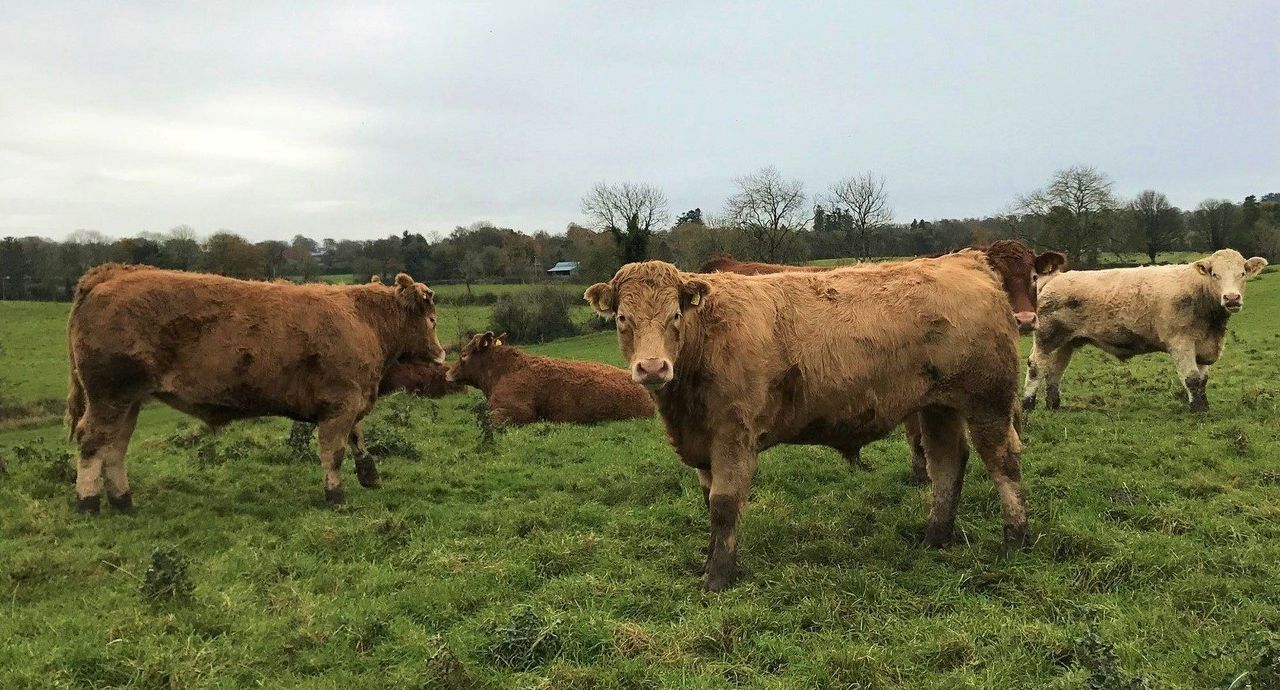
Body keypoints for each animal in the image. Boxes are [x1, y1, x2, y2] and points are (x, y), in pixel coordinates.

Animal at [66, 264, 445, 512]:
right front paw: (336, 494)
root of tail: (113, 273)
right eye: (432, 320)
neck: (364, 321)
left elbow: (357, 438)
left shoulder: (348, 402)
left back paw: (122, 500)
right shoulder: (341, 403)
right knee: (93, 441)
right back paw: (88, 501)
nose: (441, 353)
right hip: (109, 395)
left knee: (115, 447)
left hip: (127, 401)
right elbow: (334, 451)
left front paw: (369, 474)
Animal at [586, 255, 1027, 591]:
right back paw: (935, 538)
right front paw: (711, 563)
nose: (653, 367)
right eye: (622, 318)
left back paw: (1015, 539)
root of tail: (964, 260)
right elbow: (710, 503)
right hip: (938, 407)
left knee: (1003, 461)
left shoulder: (733, 435)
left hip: (987, 402)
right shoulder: (705, 447)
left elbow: (724, 506)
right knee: (946, 464)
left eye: (675, 315)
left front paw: (718, 578)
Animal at [1023, 249, 1268, 413]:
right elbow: (1191, 379)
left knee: (1054, 371)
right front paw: (1198, 410)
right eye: (1215, 274)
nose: (1232, 298)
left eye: (1242, 274)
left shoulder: (1204, 346)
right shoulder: (1181, 343)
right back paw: (1028, 403)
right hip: (1046, 337)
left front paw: (1204, 406)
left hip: (1066, 342)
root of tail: (1055, 277)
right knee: (1036, 366)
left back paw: (1053, 405)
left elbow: (1202, 379)